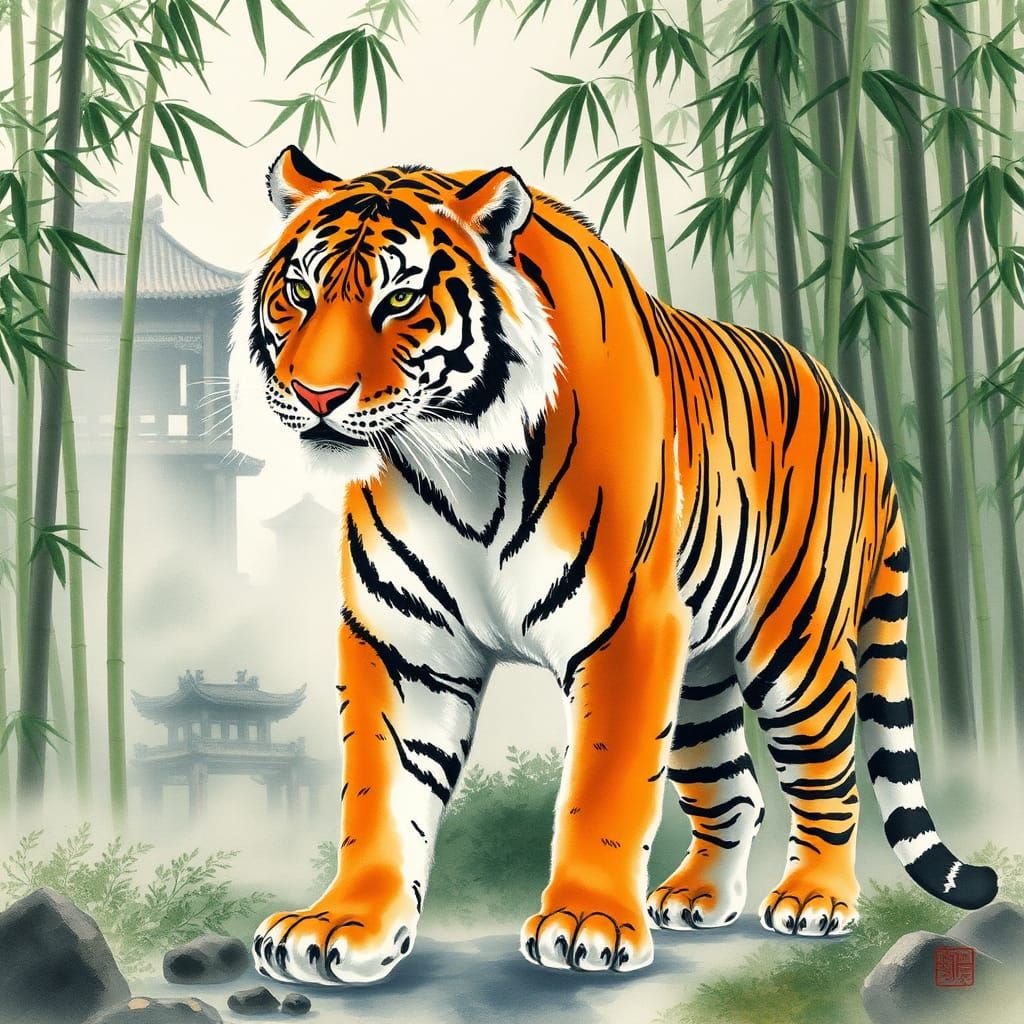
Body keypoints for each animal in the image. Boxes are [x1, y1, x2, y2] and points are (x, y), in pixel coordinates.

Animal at [231, 146, 997, 986]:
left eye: (400, 298)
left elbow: (605, 785)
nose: (317, 395)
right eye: (299, 293)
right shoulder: (402, 639)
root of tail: (853, 405)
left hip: (794, 647)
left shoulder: (626, 628)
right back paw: (698, 897)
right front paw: (345, 923)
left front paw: (587, 921)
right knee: (735, 788)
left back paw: (815, 899)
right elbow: (381, 789)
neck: (457, 463)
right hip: (698, 671)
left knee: (831, 780)